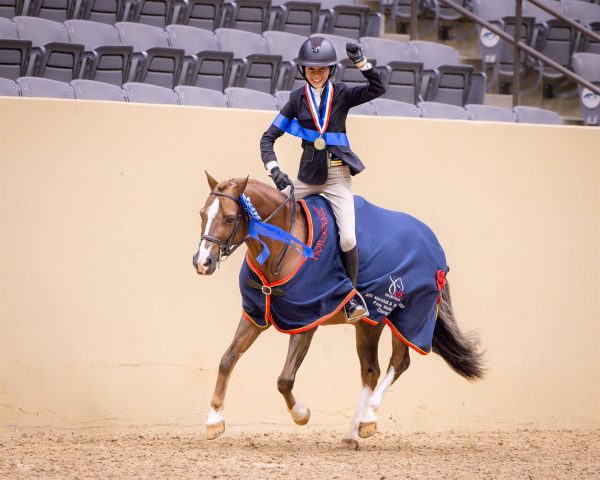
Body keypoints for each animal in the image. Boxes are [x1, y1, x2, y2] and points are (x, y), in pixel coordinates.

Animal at [195, 173, 486, 450]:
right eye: (202, 214)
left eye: (230, 218)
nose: (202, 262)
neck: (283, 248)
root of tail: (435, 246)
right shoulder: (255, 316)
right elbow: (227, 359)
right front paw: (214, 421)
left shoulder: (306, 320)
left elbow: (285, 379)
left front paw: (301, 414)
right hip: (371, 323)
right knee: (370, 371)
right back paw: (352, 434)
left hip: (409, 317)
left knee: (398, 363)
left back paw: (368, 419)